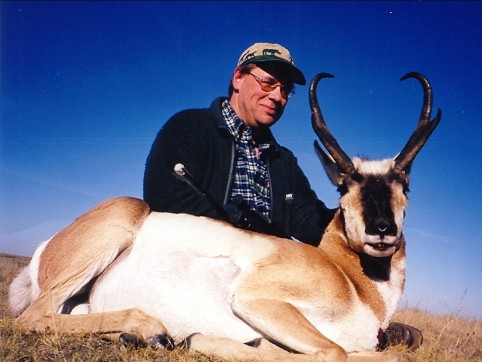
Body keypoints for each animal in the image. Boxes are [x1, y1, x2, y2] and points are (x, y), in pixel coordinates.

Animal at [9, 72, 442, 360]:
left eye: (404, 185)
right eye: (344, 187)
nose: (382, 230)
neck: (351, 281)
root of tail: (43, 251)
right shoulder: (256, 300)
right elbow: (335, 352)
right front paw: (202, 340)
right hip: (120, 220)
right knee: (31, 318)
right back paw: (154, 331)